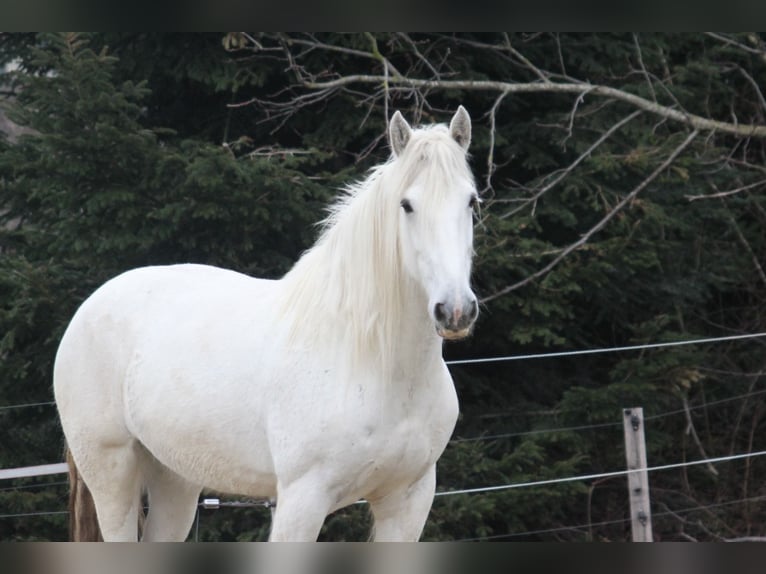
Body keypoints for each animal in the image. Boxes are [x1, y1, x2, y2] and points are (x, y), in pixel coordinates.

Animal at [54, 108, 476, 544]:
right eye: (406, 205)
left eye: (471, 201)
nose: (455, 310)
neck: (374, 360)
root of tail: (90, 306)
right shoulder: (302, 500)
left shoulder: (408, 501)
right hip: (112, 471)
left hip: (175, 477)